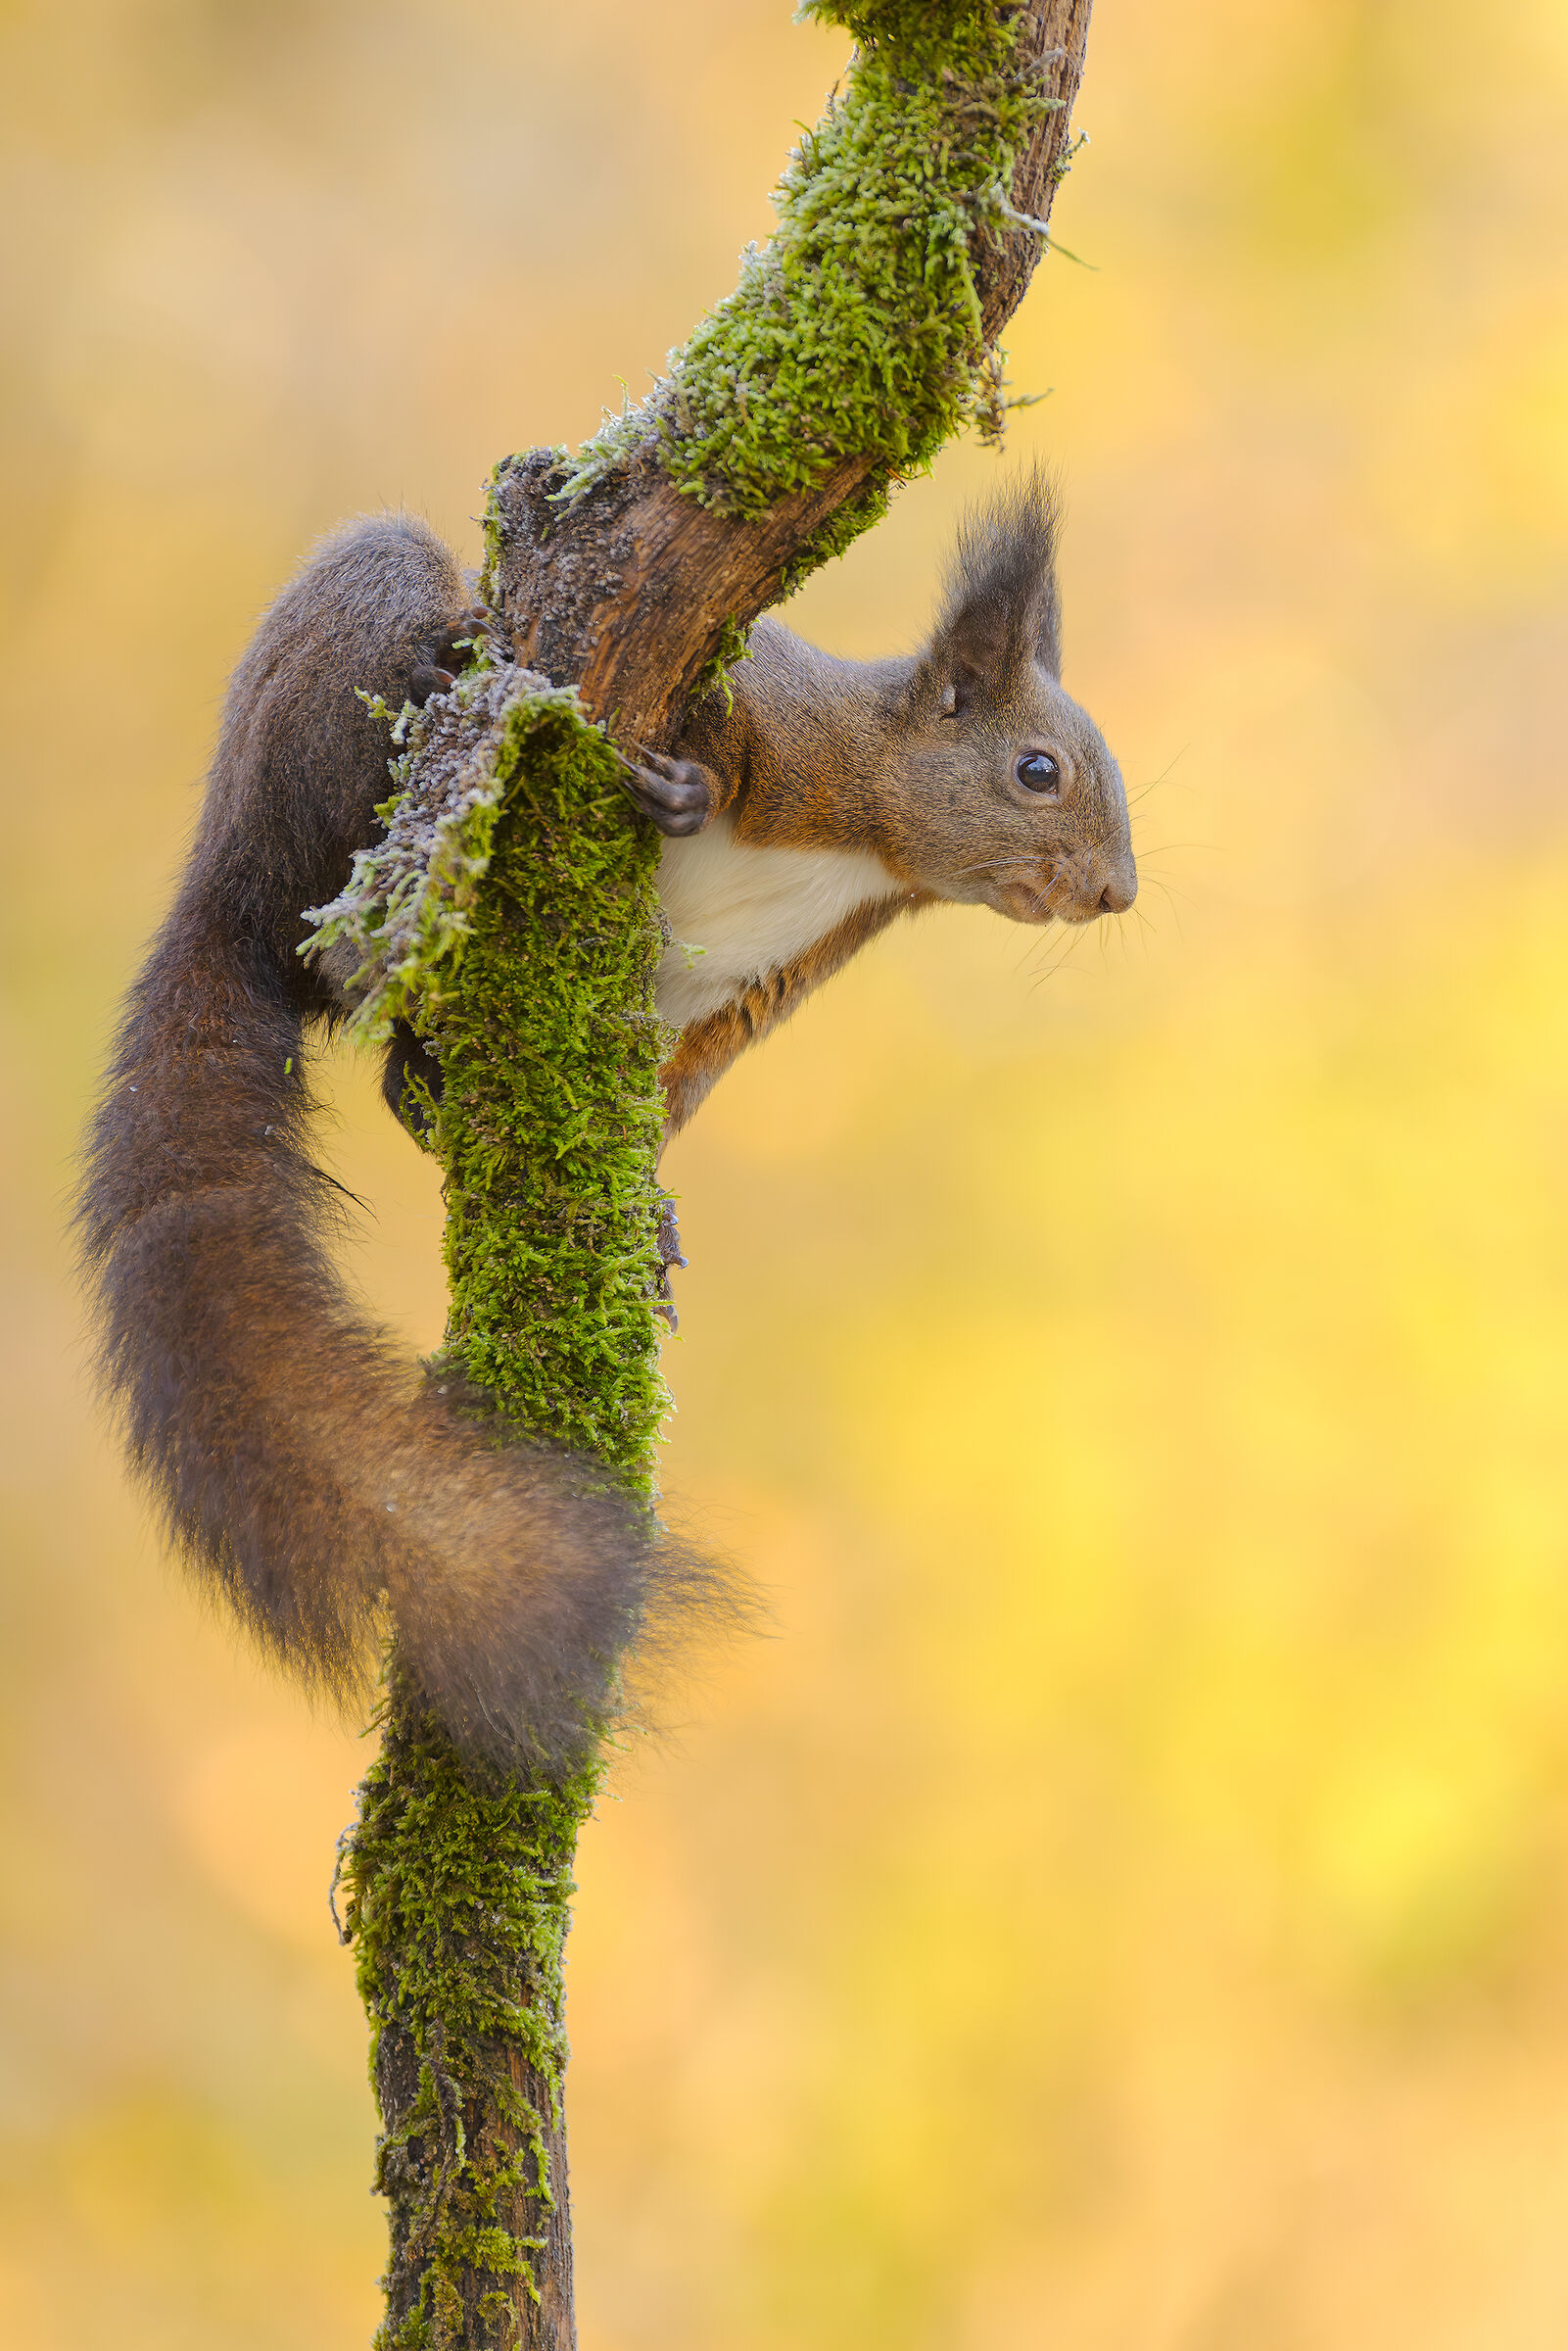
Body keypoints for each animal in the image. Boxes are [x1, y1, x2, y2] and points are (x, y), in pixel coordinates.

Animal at [76, 473, 1134, 1774]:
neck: (864, 844)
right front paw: (688, 785)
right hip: (331, 701)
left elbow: (667, 1101)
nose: (1115, 892)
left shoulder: (748, 995)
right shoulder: (776, 705)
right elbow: (719, 715)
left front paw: (656, 1224)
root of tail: (218, 890)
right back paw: (433, 672)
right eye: (1037, 771)